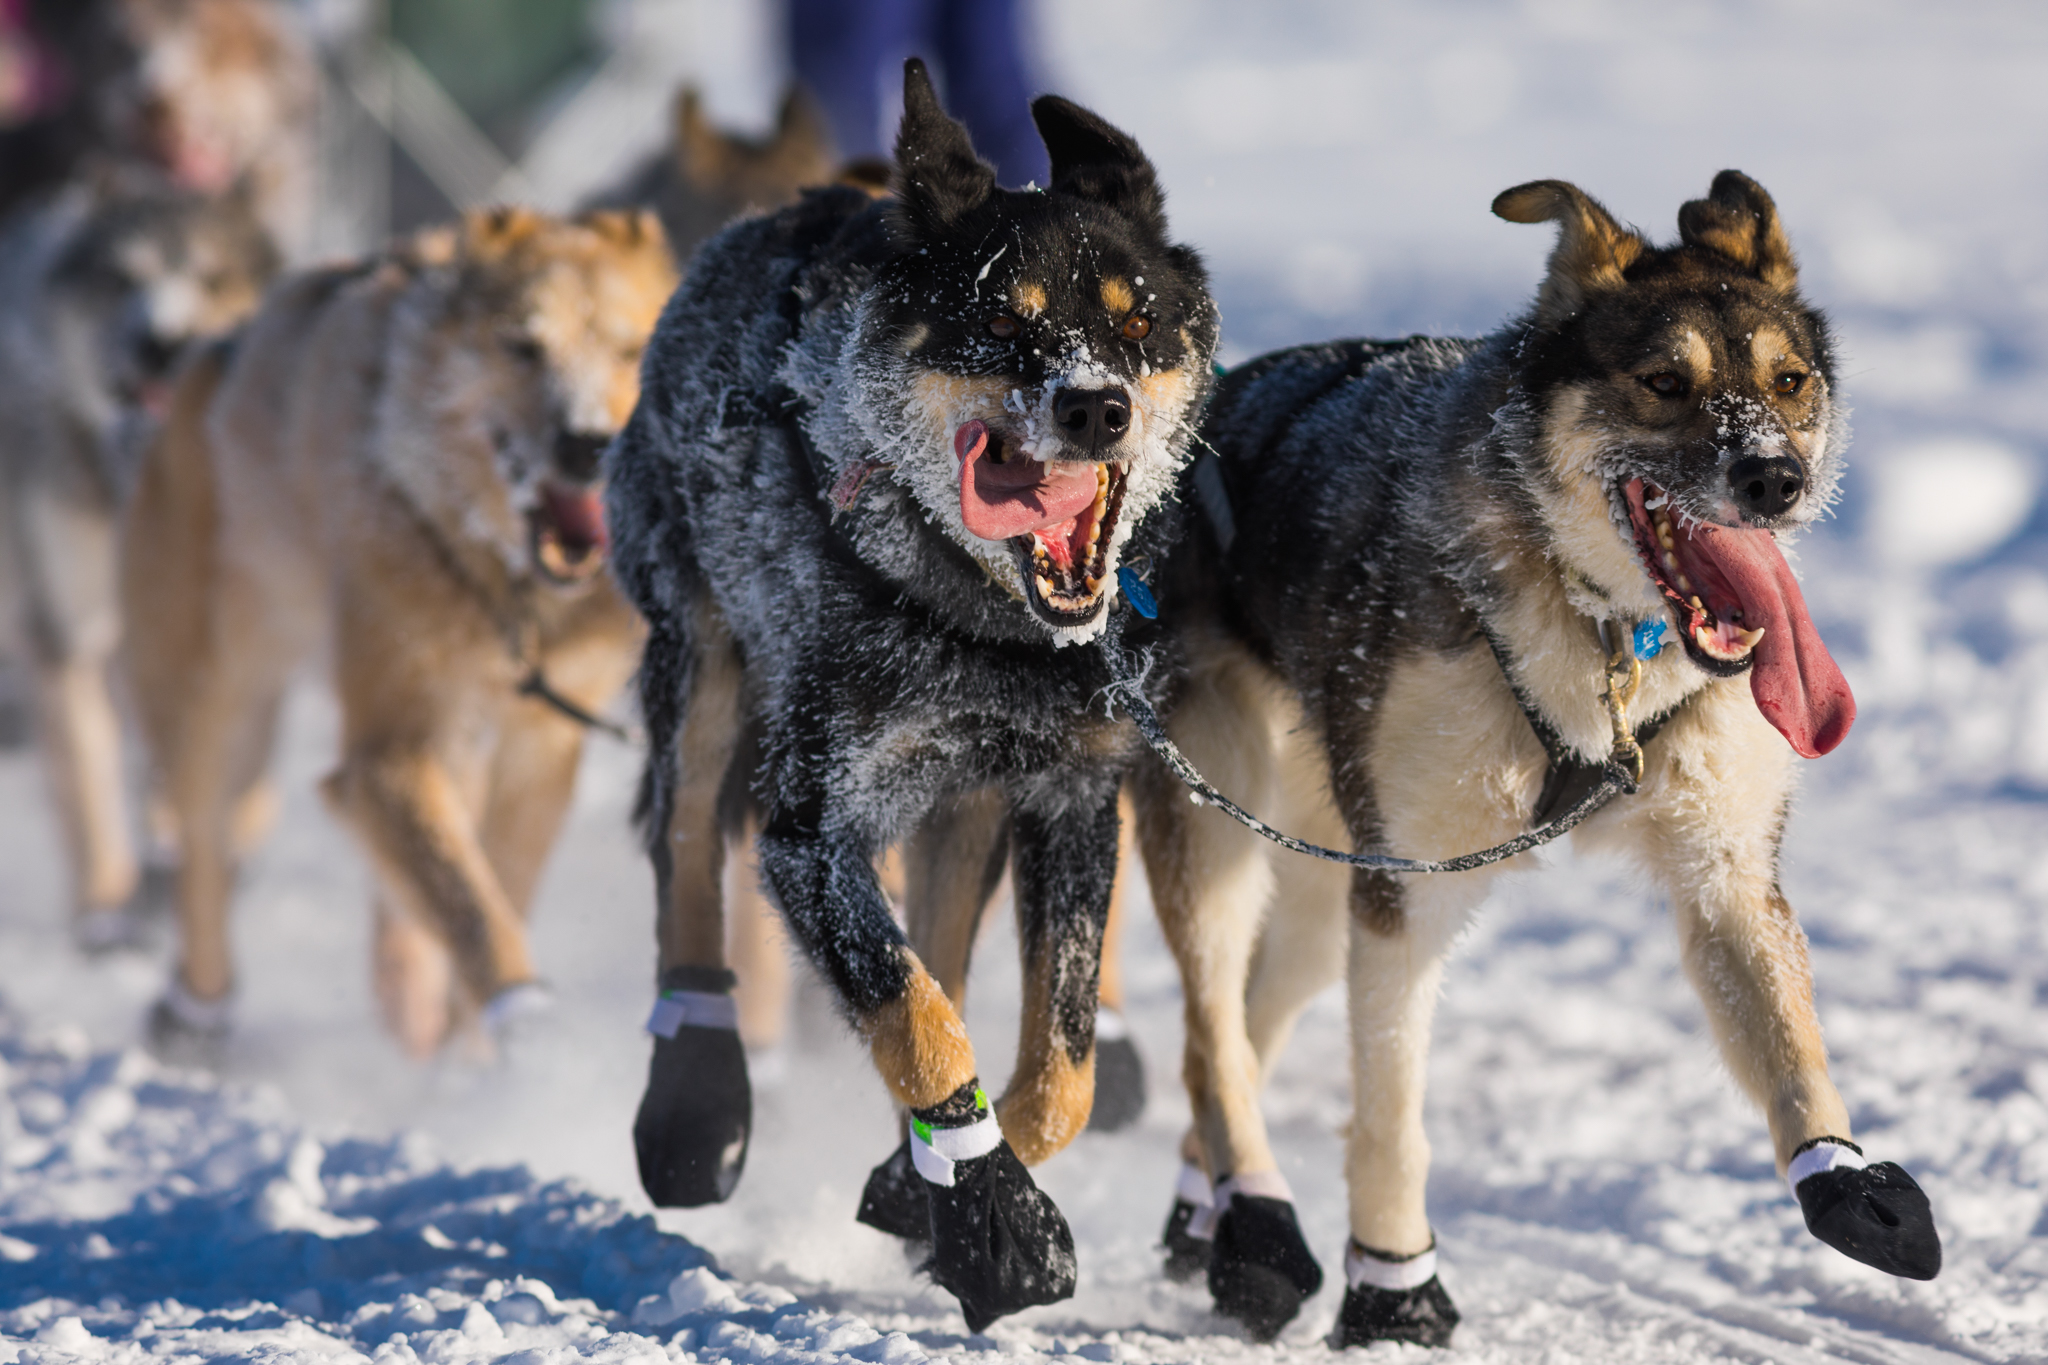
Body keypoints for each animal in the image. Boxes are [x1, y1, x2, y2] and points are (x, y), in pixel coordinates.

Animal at [121, 205, 679, 1055]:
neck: (506, 590)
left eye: (626, 351)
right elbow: (470, 905)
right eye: (522, 345)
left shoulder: (538, 749)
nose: (588, 442)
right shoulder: (392, 745)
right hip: (217, 706)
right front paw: (525, 1030)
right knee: (203, 850)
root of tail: (215, 352)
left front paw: (465, 1048)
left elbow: (494, 884)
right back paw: (198, 1008)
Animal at [1130, 170, 1941, 1342]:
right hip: (1218, 827)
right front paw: (1394, 1285)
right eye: (1663, 382)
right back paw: (1254, 1225)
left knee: (1247, 1015)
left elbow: (1791, 1047)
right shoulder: (1410, 893)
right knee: (1208, 1034)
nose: (1774, 478)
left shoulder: (1724, 871)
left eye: (1787, 382)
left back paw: (1207, 1211)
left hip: (1323, 879)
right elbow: (1391, 1113)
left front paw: (1844, 1180)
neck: (1605, 639)